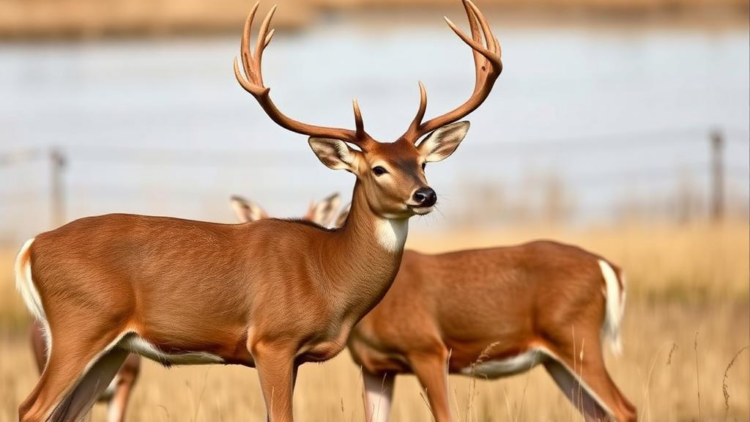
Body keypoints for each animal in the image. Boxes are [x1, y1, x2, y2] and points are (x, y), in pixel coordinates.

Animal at [14, 1, 502, 420]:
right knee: (31, 408)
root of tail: (30, 247)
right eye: (377, 168)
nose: (425, 196)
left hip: (113, 346)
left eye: (422, 163)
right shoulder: (271, 340)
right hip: (80, 325)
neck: (328, 273)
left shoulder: (295, 356)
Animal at [232, 197, 637, 422]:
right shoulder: (375, 366)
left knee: (624, 409)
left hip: (576, 337)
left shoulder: (428, 349)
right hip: (555, 358)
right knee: (599, 415)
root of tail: (606, 267)